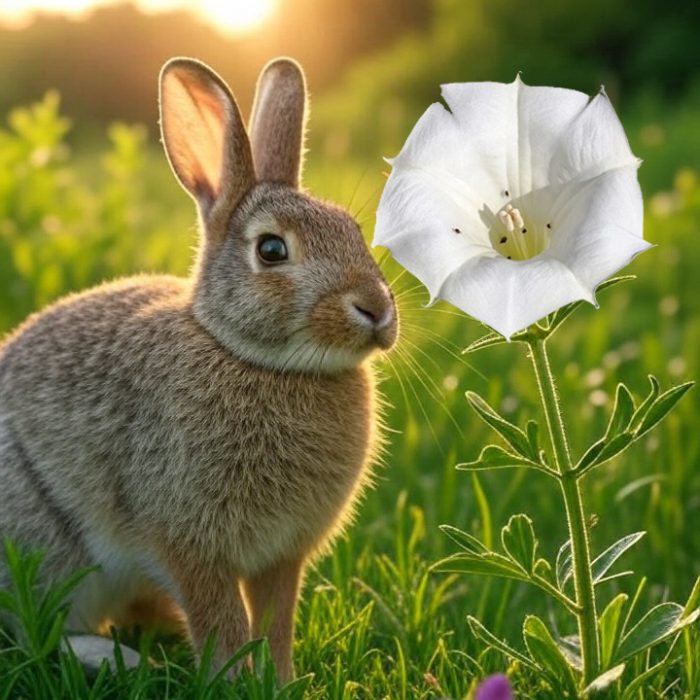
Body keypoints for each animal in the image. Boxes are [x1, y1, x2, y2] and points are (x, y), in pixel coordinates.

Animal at [0, 56, 397, 681]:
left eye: (353, 232)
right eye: (272, 250)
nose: (377, 309)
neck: (256, 360)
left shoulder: (283, 556)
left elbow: (275, 620)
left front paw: (279, 680)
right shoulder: (190, 546)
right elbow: (222, 621)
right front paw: (235, 680)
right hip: (45, 539)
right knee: (41, 627)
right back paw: (118, 659)